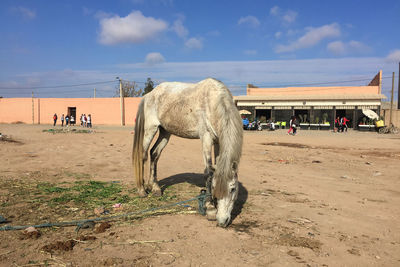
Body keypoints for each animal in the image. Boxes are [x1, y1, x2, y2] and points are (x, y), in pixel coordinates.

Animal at [133, 78, 242, 228]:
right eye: (214, 187)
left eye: (232, 189)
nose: (222, 221)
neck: (214, 102)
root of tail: (148, 95)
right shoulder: (206, 137)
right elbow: (209, 172)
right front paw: (210, 208)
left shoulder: (218, 141)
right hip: (150, 129)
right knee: (142, 156)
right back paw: (142, 190)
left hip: (165, 131)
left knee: (154, 153)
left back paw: (155, 188)